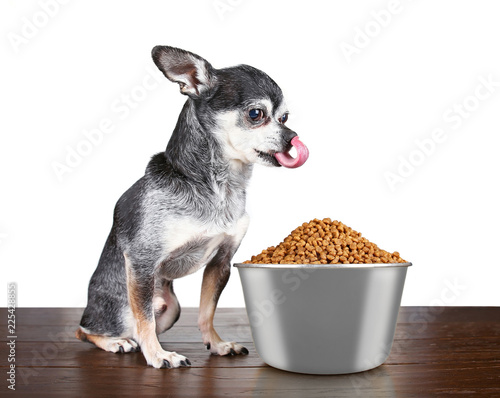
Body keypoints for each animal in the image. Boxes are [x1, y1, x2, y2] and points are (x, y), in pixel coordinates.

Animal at [74, 45, 304, 368]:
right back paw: (116, 341)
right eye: (256, 114)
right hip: (123, 305)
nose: (293, 137)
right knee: (89, 330)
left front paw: (217, 344)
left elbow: (207, 311)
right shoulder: (141, 261)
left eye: (284, 117)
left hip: (171, 308)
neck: (219, 188)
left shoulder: (221, 262)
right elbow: (144, 320)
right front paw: (158, 355)